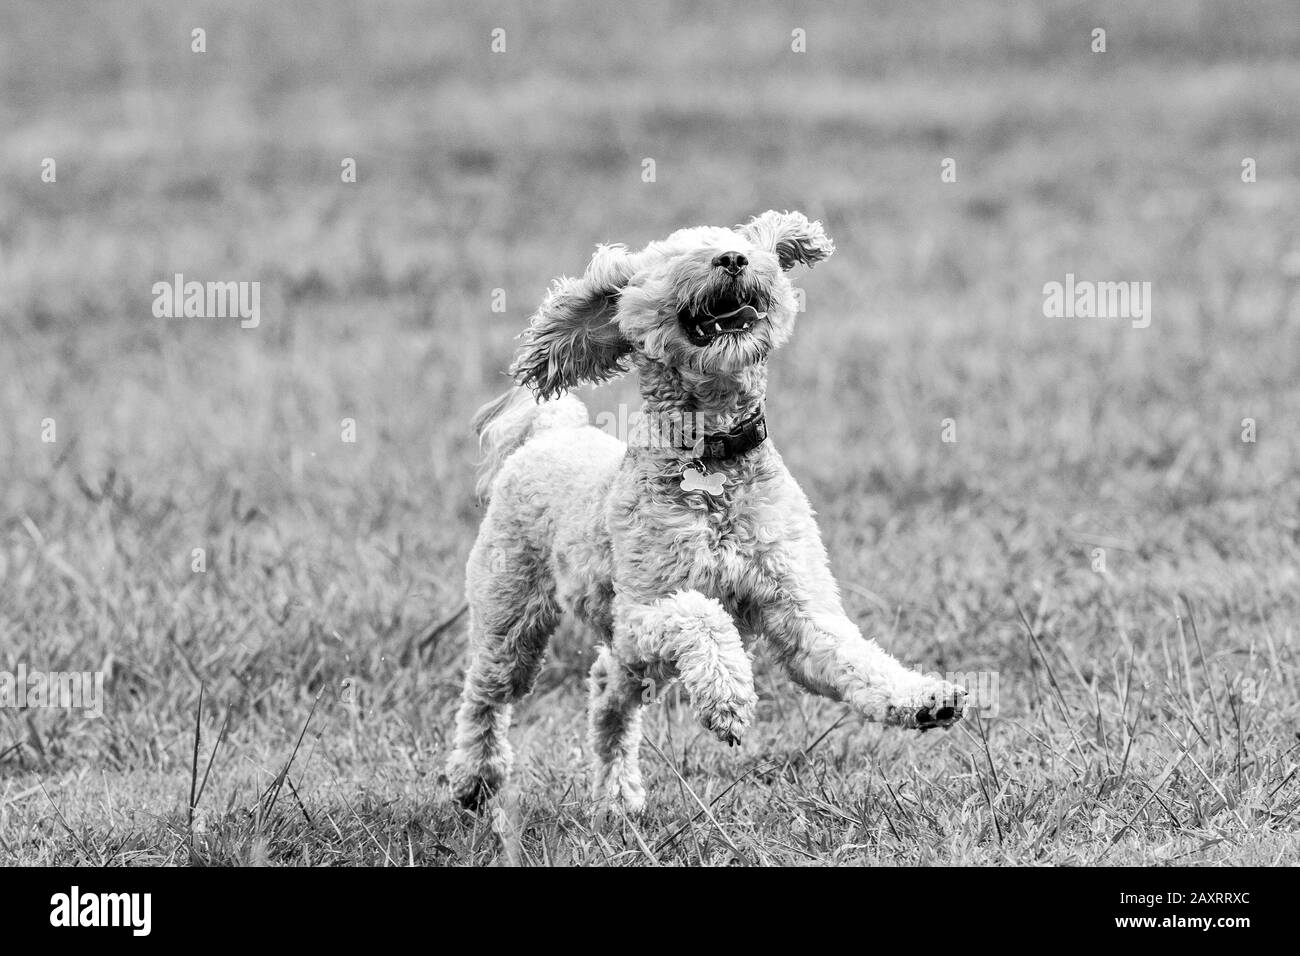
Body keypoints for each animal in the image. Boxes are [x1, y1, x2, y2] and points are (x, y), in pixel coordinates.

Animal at [447, 210, 967, 816]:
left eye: (740, 244)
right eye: (673, 259)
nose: (734, 260)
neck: (713, 453)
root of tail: (548, 433)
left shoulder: (800, 609)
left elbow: (856, 657)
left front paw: (925, 697)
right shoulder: (641, 611)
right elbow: (701, 615)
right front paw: (729, 697)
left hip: (627, 656)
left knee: (606, 688)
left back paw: (617, 798)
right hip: (513, 613)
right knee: (485, 694)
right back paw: (474, 779)